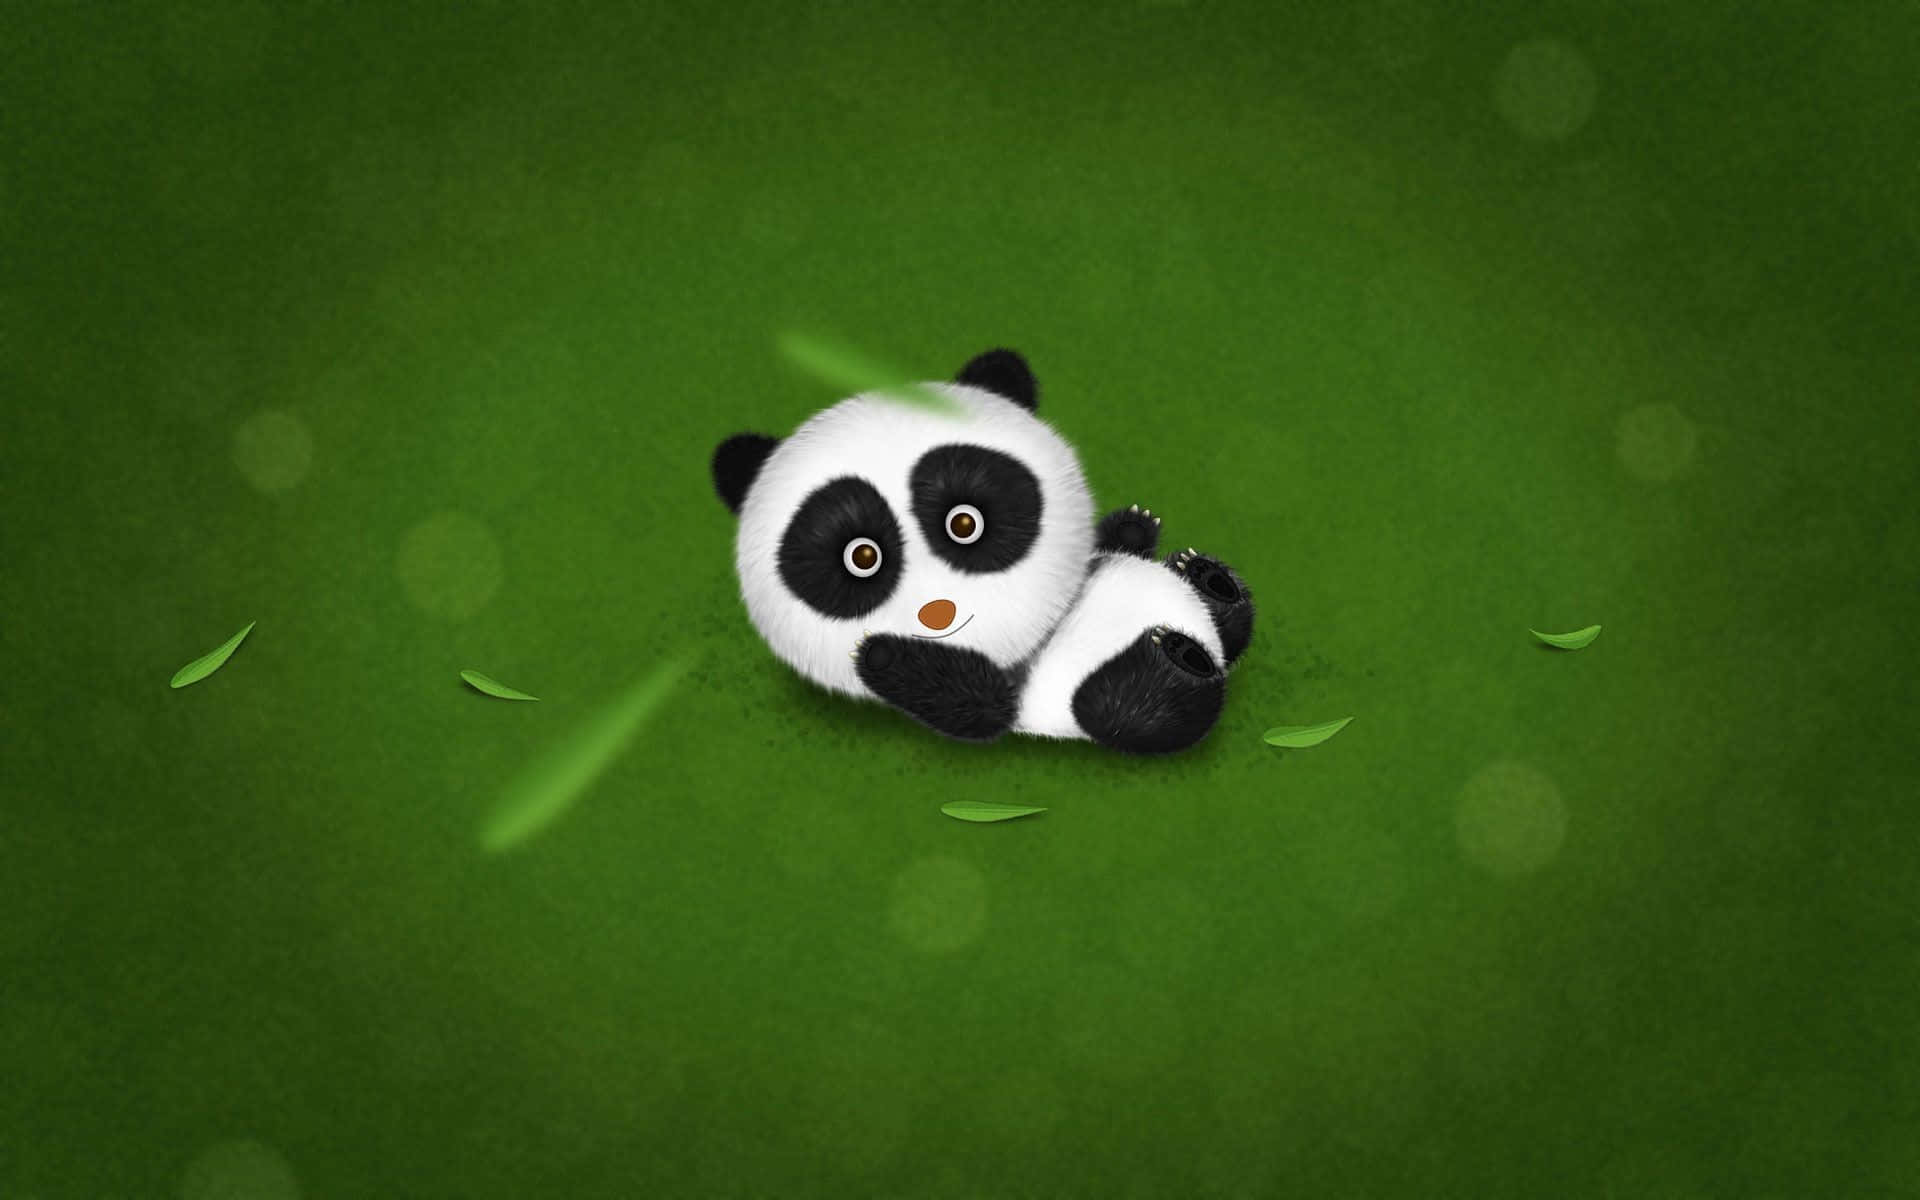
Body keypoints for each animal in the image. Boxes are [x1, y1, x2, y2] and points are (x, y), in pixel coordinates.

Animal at [709, 348, 1254, 754]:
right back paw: (1176, 649)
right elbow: (978, 709)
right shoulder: (1006, 695)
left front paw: (1134, 525)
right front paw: (881, 652)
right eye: (861, 556)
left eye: (964, 523)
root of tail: (1203, 637)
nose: (937, 613)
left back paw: (1203, 578)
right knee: (1136, 705)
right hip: (1098, 696)